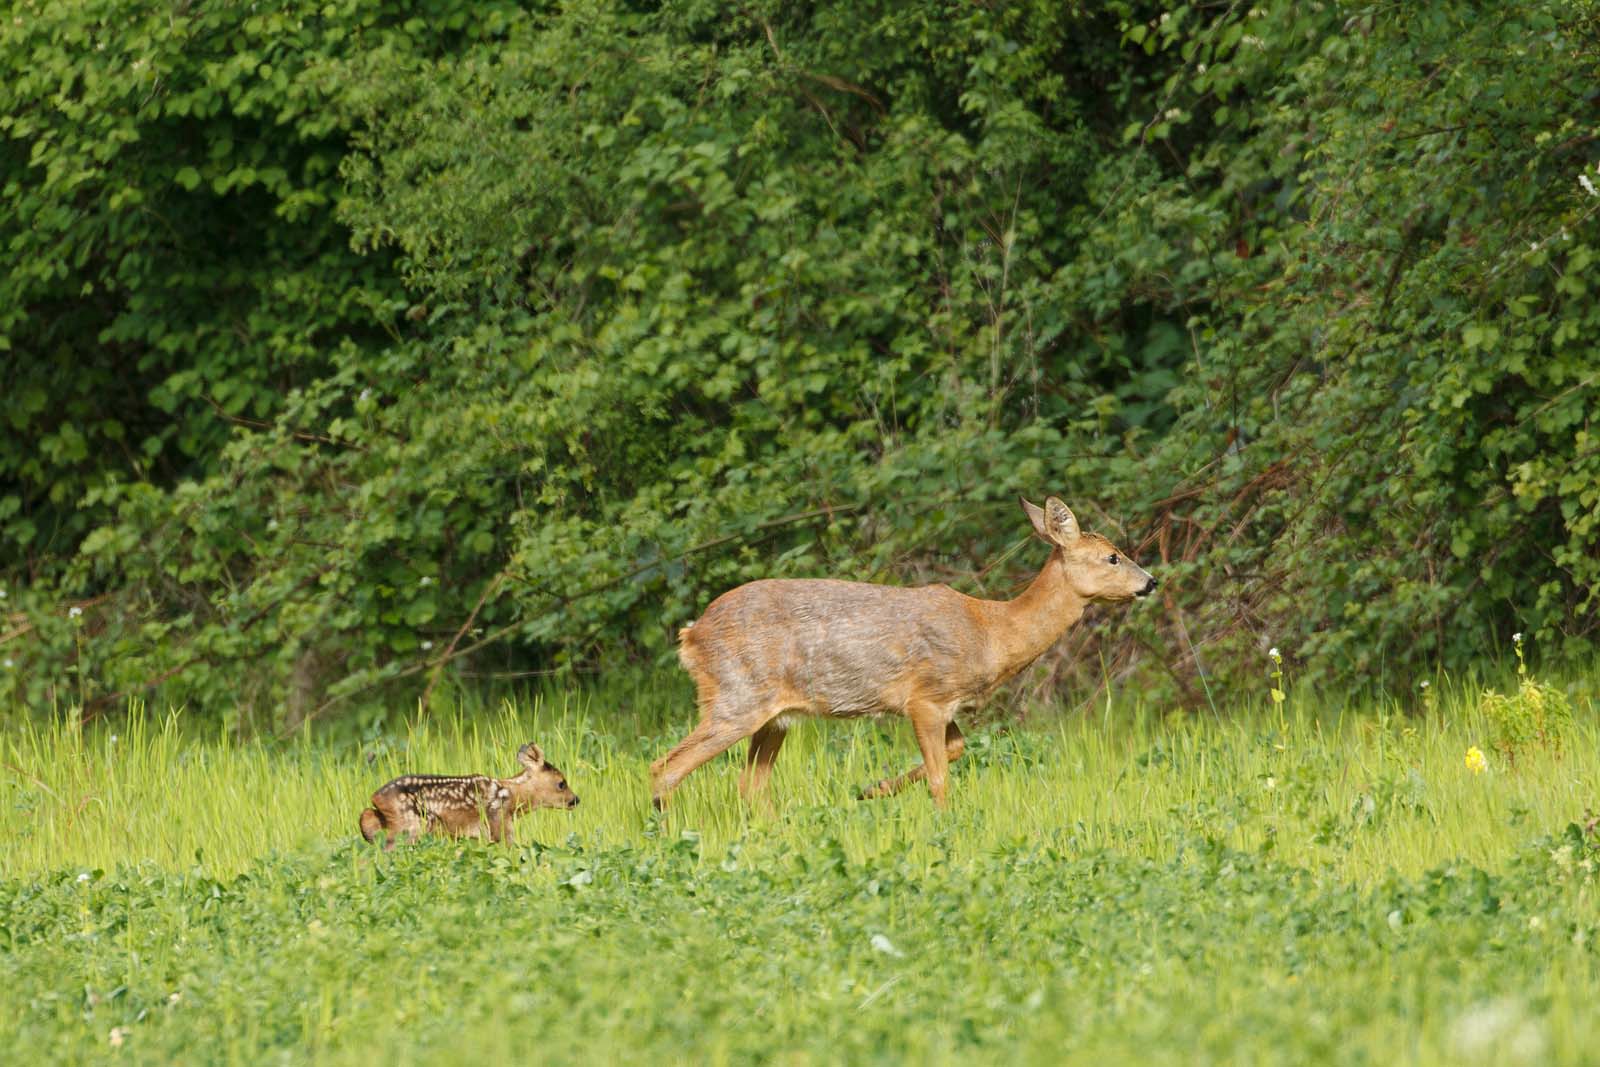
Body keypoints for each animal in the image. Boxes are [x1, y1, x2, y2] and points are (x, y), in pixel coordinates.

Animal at [359, 742, 579, 850]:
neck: (512, 795)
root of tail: (376, 796)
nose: (576, 799)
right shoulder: (499, 822)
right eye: (561, 783)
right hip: (413, 824)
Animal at [650, 497, 1157, 810]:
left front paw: (872, 790)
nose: (1151, 581)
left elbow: (956, 750)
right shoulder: (925, 697)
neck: (992, 632)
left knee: (749, 784)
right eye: (1113, 557)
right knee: (666, 766)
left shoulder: (946, 706)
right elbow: (940, 777)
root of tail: (691, 635)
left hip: (774, 717)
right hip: (736, 698)